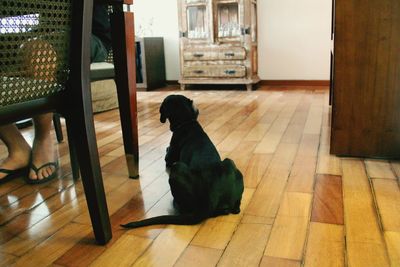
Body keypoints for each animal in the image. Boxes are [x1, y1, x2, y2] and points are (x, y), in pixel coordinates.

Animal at [122, 95, 244, 229]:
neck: (188, 122)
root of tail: (210, 200)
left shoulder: (170, 157)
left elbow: (167, 153)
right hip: (230, 163)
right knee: (236, 207)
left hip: (177, 167)